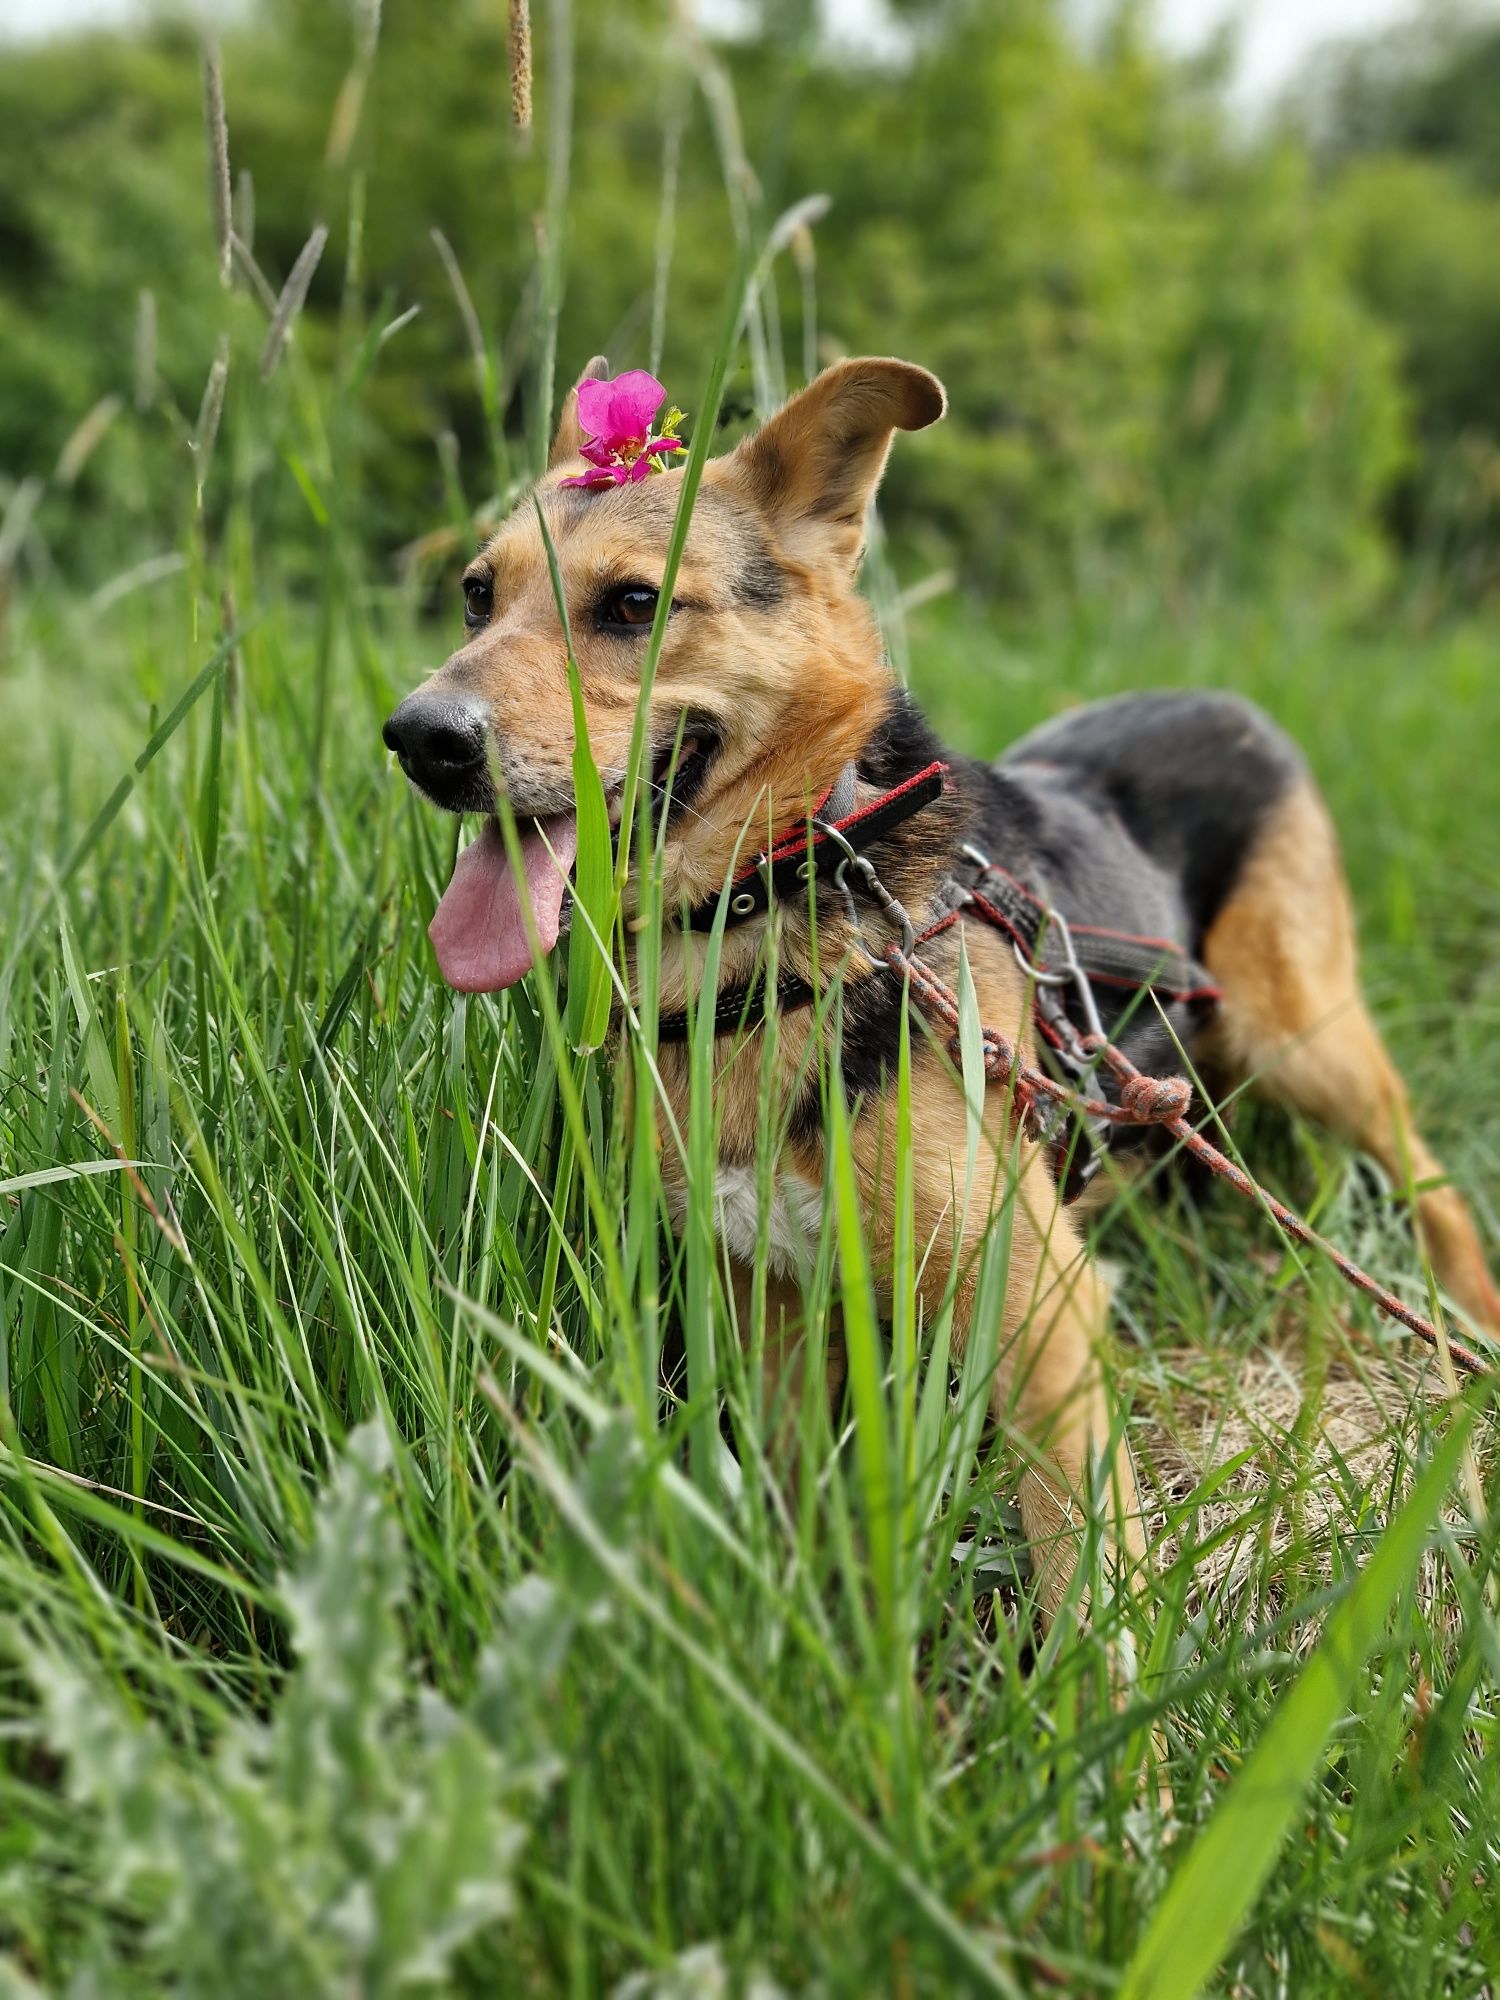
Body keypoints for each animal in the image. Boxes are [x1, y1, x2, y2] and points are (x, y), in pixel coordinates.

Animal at [388, 356, 1500, 1608]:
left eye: (634, 603)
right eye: (476, 596)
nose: (421, 737)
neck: (775, 928)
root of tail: (1232, 702)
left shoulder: (1042, 1314)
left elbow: (1086, 1578)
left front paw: (1102, 1668)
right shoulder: (769, 1307)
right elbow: (798, 1511)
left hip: (1308, 1038)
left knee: (1431, 1177)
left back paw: (1466, 1311)